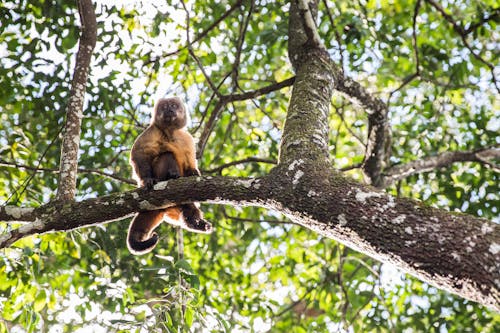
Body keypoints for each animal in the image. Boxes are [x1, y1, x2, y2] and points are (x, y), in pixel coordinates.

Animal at [128, 96, 212, 254]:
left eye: (173, 105)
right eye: (165, 106)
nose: (169, 109)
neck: (170, 131)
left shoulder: (187, 138)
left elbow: (190, 162)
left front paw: (193, 172)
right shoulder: (151, 132)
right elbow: (139, 154)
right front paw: (147, 180)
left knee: (188, 206)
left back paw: (196, 223)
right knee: (166, 155)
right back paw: (171, 175)